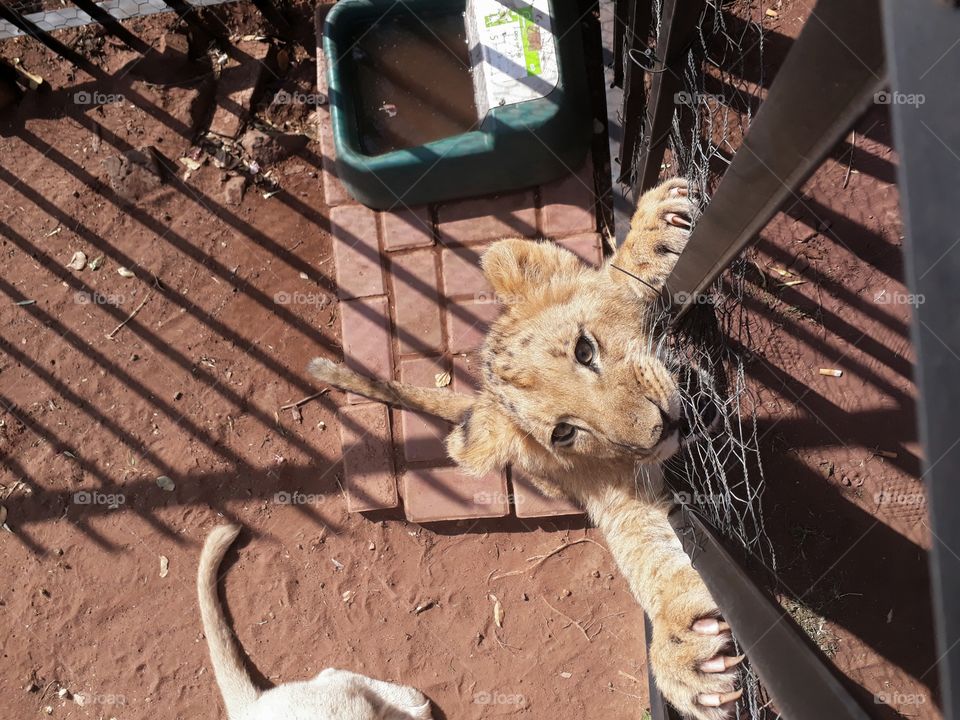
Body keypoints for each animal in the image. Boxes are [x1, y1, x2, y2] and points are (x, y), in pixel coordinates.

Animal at [308, 179, 744, 719]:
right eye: (563, 433)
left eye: (584, 349)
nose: (660, 427)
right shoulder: (612, 491)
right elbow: (643, 550)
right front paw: (685, 645)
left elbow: (615, 276)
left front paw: (653, 232)